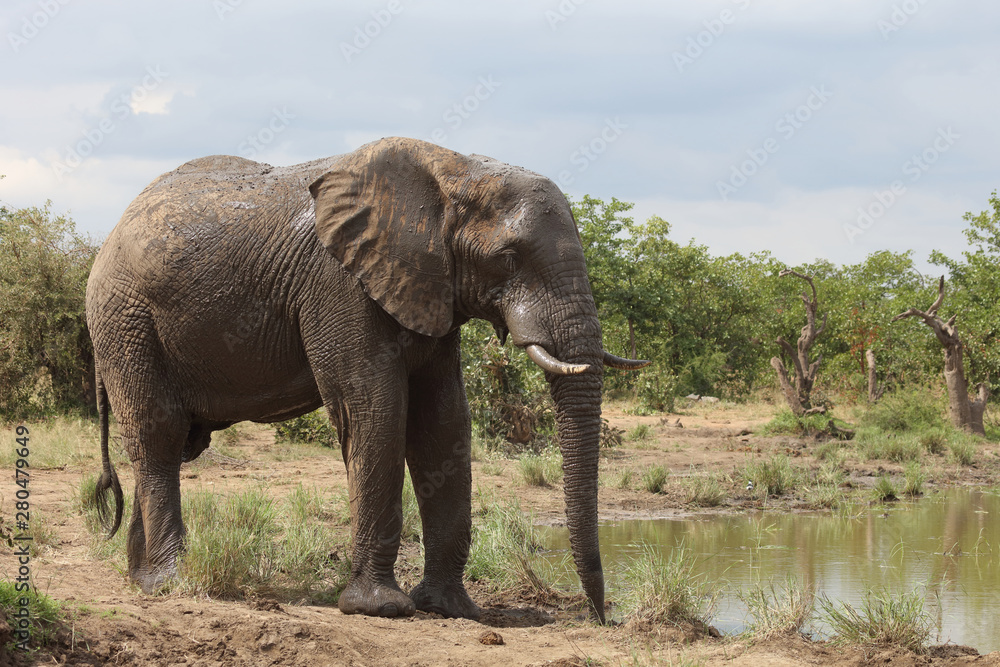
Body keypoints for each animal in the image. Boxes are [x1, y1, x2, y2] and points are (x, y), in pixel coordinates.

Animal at [88, 137, 647, 623]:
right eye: (508, 258)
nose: (602, 617)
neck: (454, 172)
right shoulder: (339, 284)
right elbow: (374, 410)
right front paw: (382, 609)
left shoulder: (429, 289)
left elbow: (442, 422)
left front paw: (450, 609)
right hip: (126, 321)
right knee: (158, 435)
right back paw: (170, 582)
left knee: (169, 443)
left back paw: (140, 580)